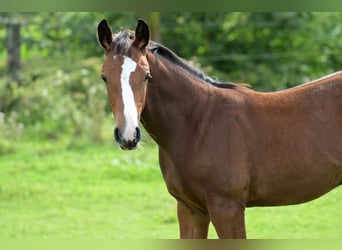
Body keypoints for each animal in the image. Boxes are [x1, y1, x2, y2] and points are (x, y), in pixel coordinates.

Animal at [96, 19, 342, 238]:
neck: (196, 122)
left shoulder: (227, 208)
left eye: (146, 76)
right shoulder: (190, 209)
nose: (128, 135)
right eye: (104, 77)